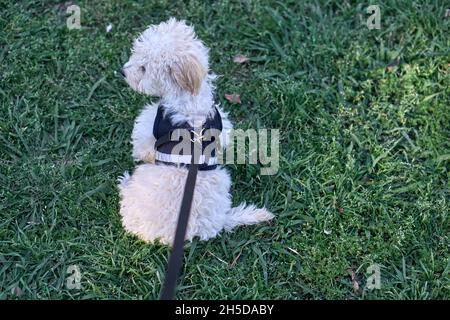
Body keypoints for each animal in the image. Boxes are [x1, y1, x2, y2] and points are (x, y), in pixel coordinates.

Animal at [118, 18, 272, 245]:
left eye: (144, 68)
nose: (123, 71)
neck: (191, 101)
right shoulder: (222, 125)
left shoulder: (148, 130)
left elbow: (142, 149)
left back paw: (125, 183)